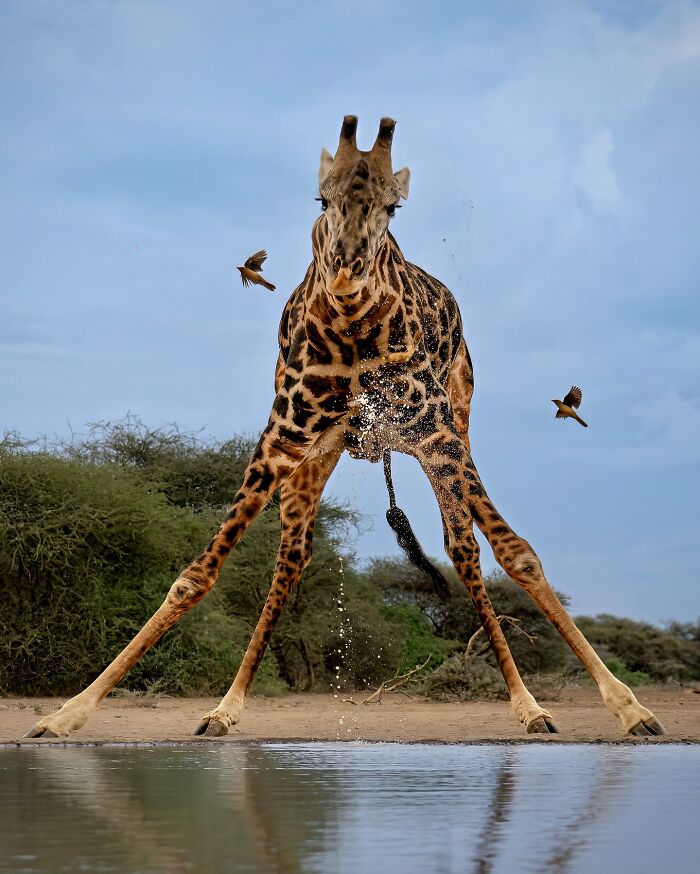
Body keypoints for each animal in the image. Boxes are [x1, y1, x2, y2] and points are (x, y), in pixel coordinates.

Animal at [25, 116, 666, 740]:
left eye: (393, 207)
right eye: (322, 198)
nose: (347, 272)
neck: (355, 329)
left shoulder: (437, 434)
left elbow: (500, 552)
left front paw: (598, 707)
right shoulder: (281, 437)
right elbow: (195, 575)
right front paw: (67, 713)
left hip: (455, 426)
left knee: (482, 546)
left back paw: (572, 707)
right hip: (319, 458)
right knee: (294, 557)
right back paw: (226, 708)